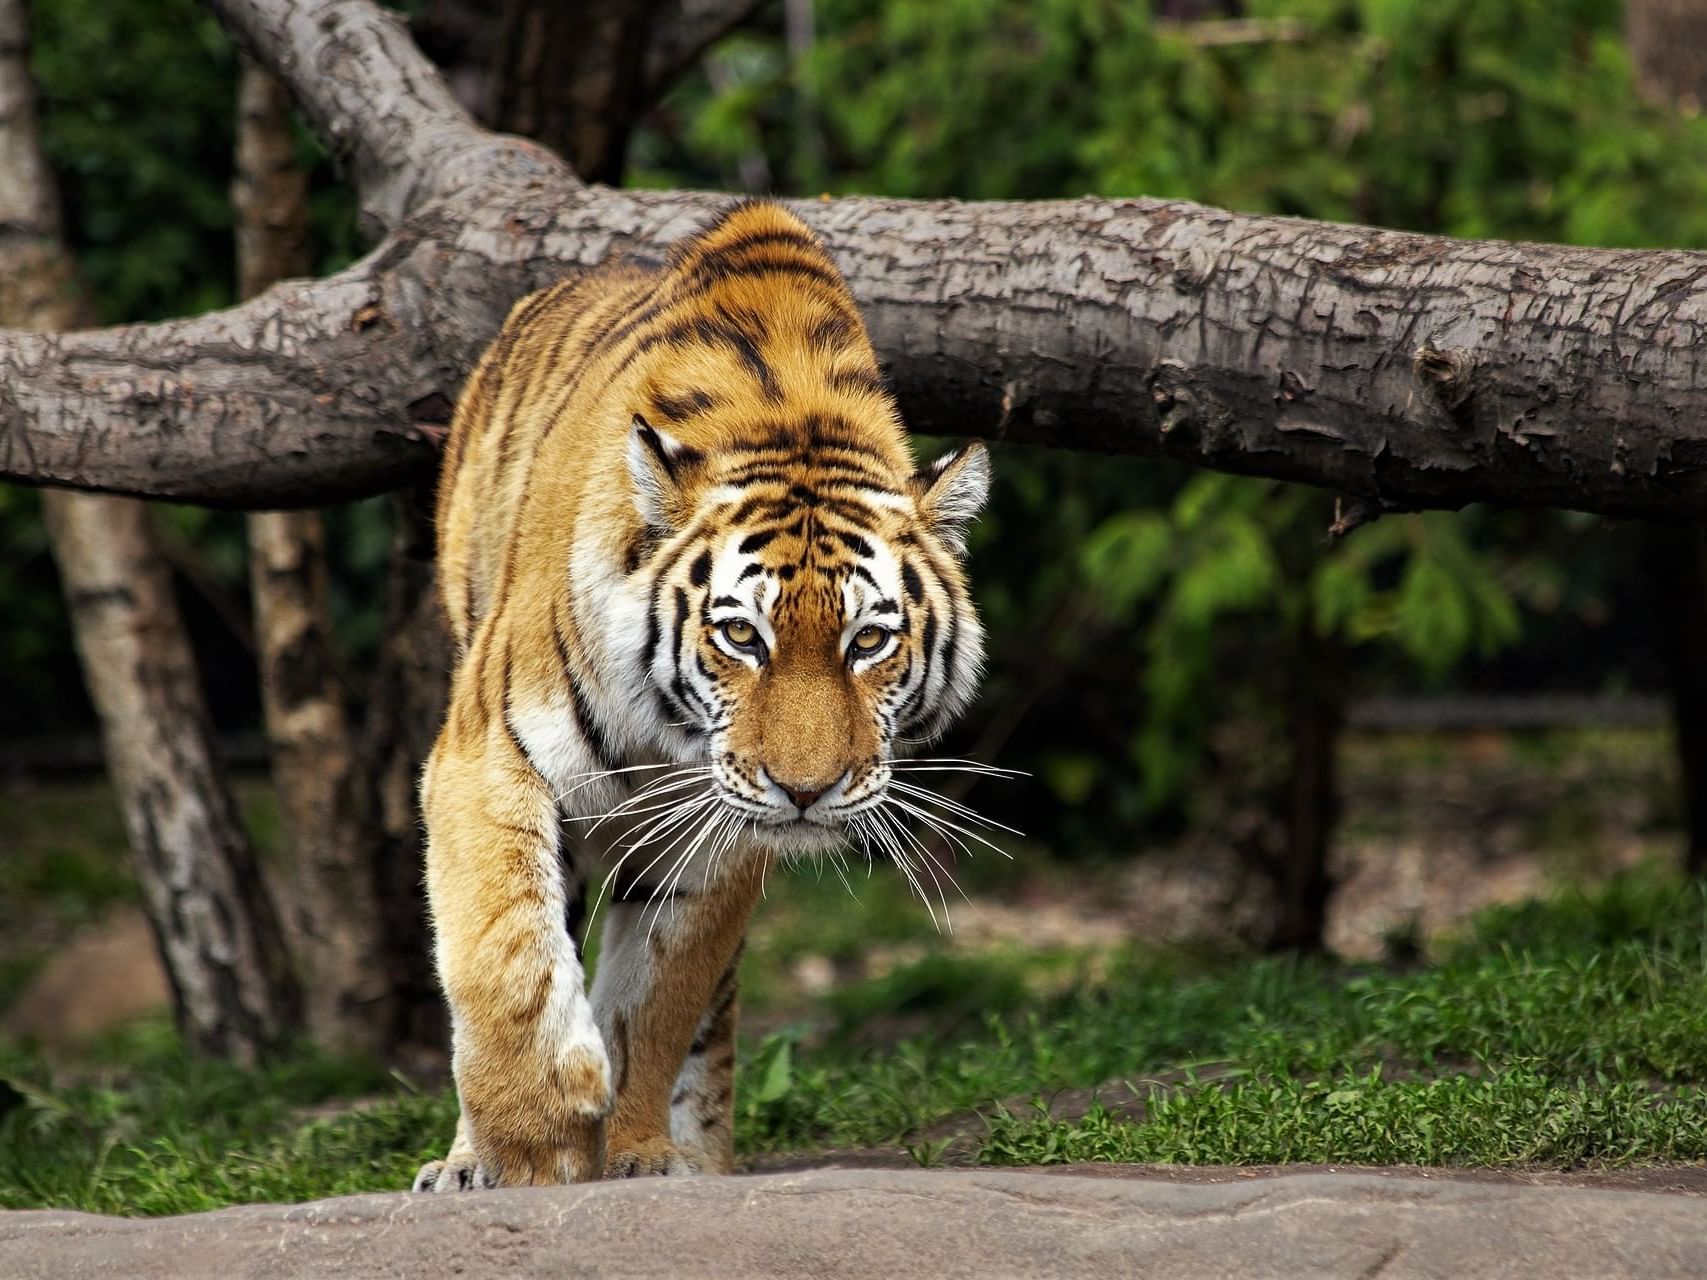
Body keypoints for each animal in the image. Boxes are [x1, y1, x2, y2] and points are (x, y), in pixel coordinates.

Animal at [414, 200, 996, 1194]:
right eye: (742, 637)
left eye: (868, 642)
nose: (805, 790)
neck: (668, 731)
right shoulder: (485, 757)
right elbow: (503, 953)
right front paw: (534, 1143)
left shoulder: (716, 835)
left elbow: (657, 999)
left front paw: (638, 1152)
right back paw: (463, 1163)